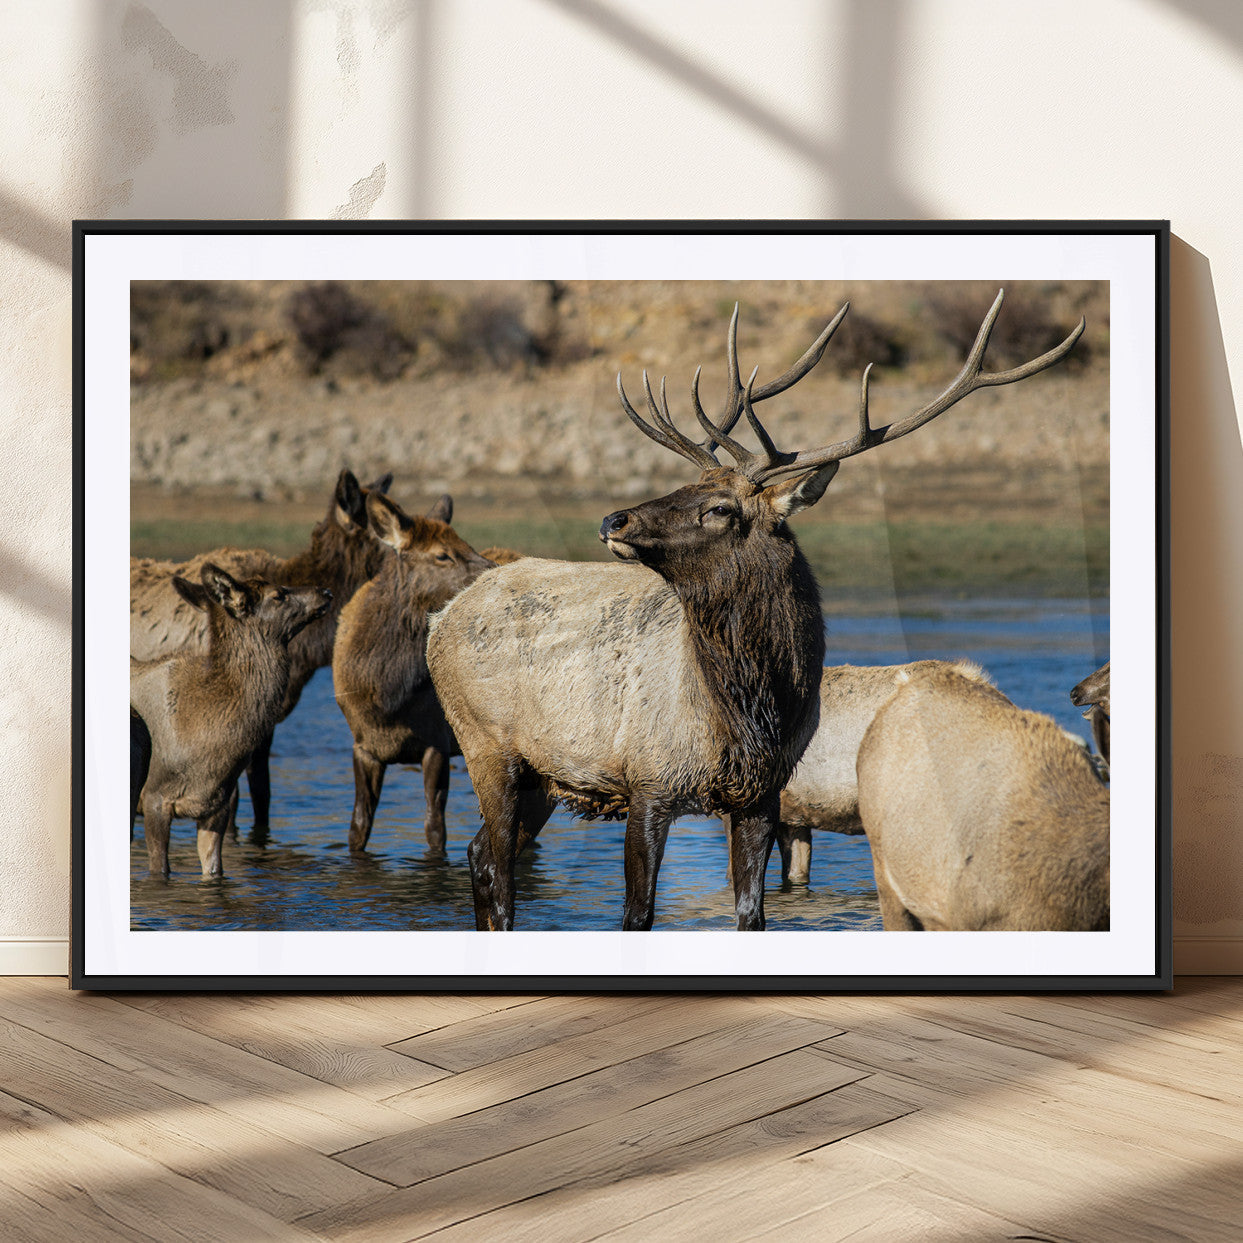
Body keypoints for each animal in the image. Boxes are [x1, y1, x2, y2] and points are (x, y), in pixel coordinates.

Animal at [130, 564, 332, 878]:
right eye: (278, 594)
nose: (326, 591)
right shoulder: (154, 798)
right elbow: (159, 870)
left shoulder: (217, 805)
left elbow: (215, 870)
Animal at [332, 491, 495, 854]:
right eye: (442, 555)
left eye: (468, 544)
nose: (495, 572)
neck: (388, 696)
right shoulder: (362, 745)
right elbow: (357, 828)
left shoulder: (437, 741)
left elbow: (435, 829)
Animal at [428, 290, 1084, 931]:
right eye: (684, 486)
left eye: (718, 506)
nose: (613, 519)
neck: (748, 712)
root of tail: (443, 617)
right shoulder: (649, 780)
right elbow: (638, 914)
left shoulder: (764, 796)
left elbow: (753, 913)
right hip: (485, 743)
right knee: (496, 868)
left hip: (539, 773)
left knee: (481, 854)